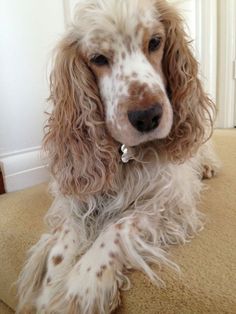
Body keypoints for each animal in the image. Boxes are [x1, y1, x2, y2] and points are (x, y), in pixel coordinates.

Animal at [16, 0, 219, 314]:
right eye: (98, 58)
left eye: (155, 42)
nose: (147, 116)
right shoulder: (77, 197)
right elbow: (62, 242)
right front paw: (50, 288)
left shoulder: (169, 201)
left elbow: (118, 227)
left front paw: (81, 286)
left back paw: (207, 167)